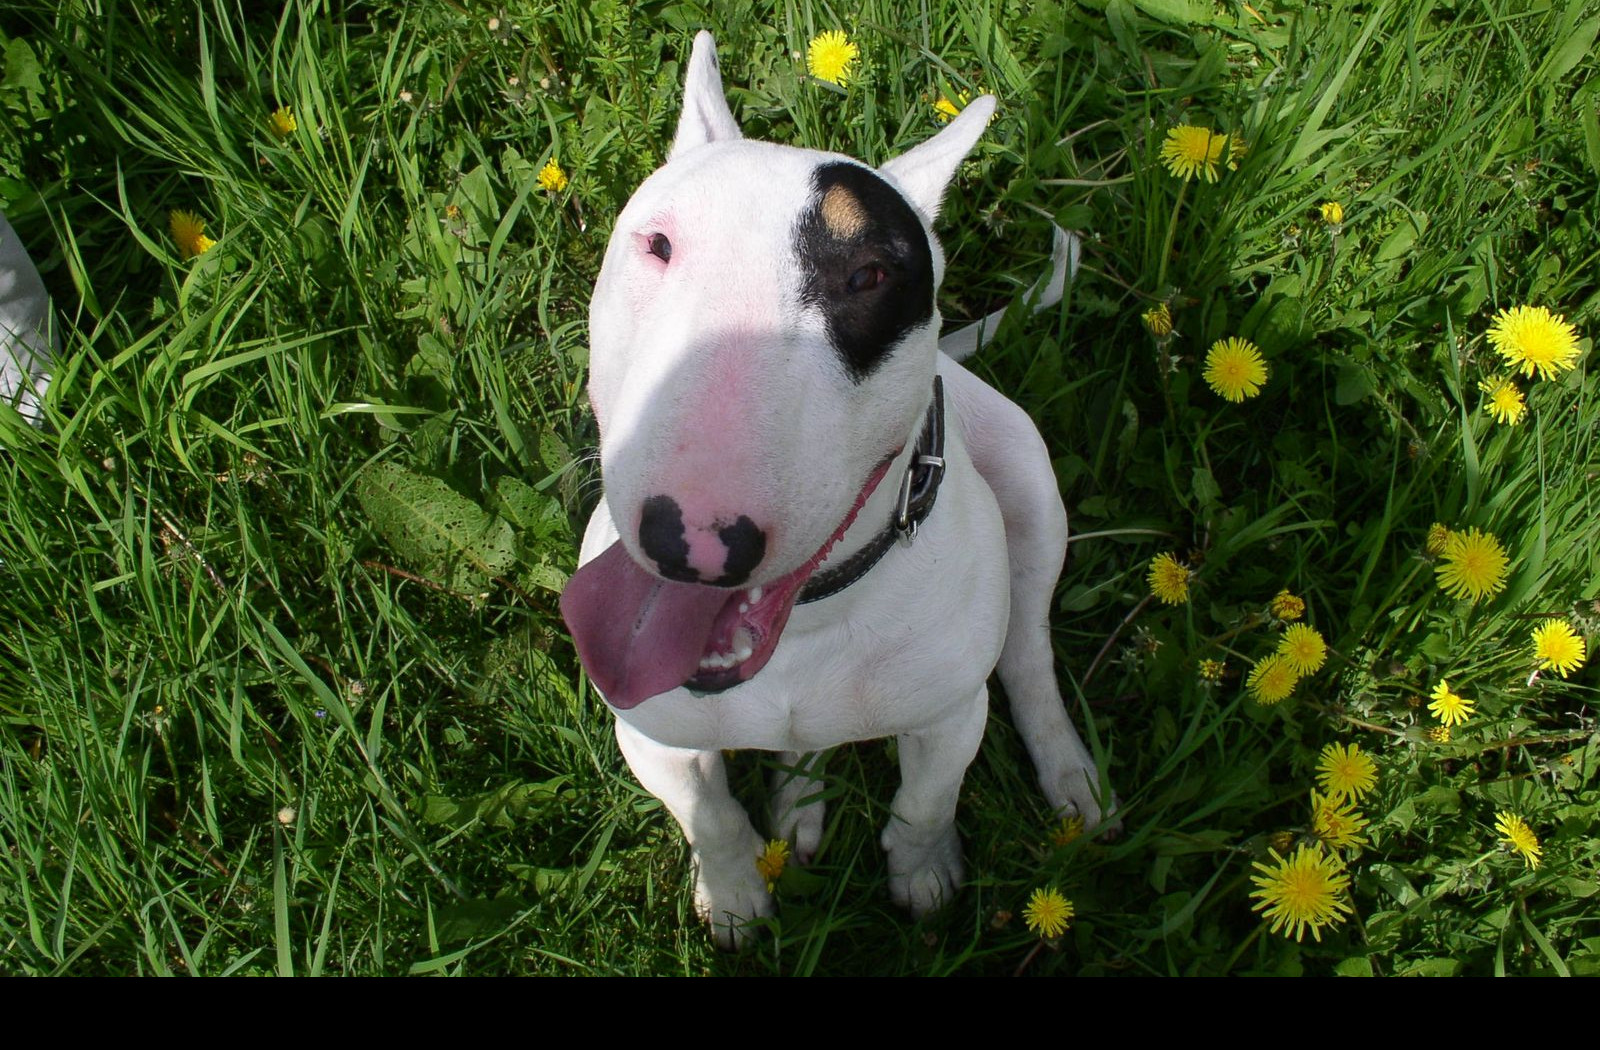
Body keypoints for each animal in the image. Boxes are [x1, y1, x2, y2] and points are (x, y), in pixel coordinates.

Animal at [563, 34, 1113, 953]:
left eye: (870, 275)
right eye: (658, 245)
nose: (692, 542)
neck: (811, 622)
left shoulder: (949, 718)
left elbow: (926, 800)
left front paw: (923, 874)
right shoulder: (648, 735)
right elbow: (710, 817)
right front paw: (735, 895)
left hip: (1031, 485)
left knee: (1028, 650)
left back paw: (1068, 772)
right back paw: (799, 804)